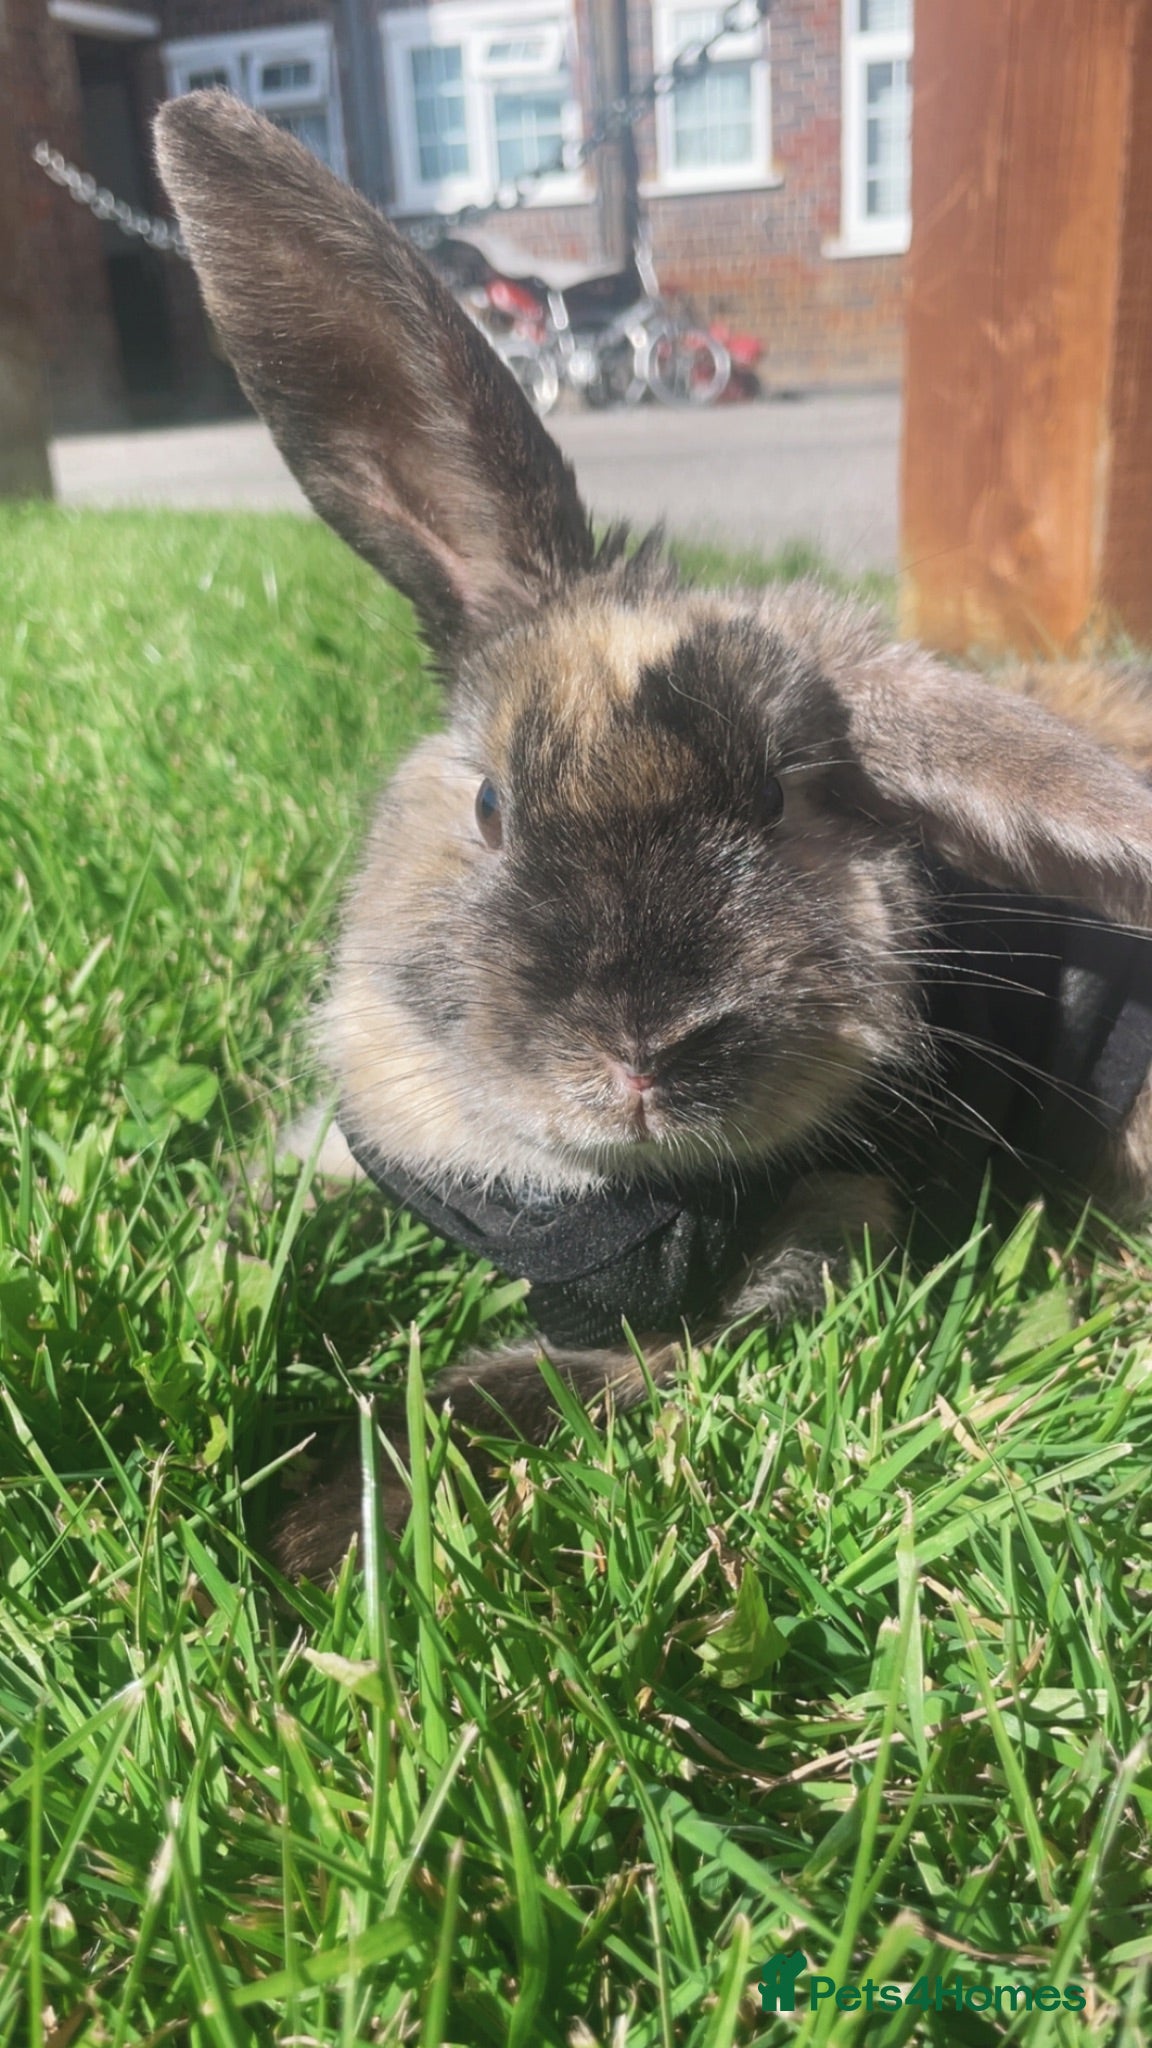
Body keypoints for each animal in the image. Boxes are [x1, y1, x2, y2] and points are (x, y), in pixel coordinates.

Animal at [154, 93, 1152, 1581]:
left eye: (791, 800)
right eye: (492, 803)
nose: (645, 1050)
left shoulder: (809, 1239)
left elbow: (571, 1382)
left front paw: (329, 1525)